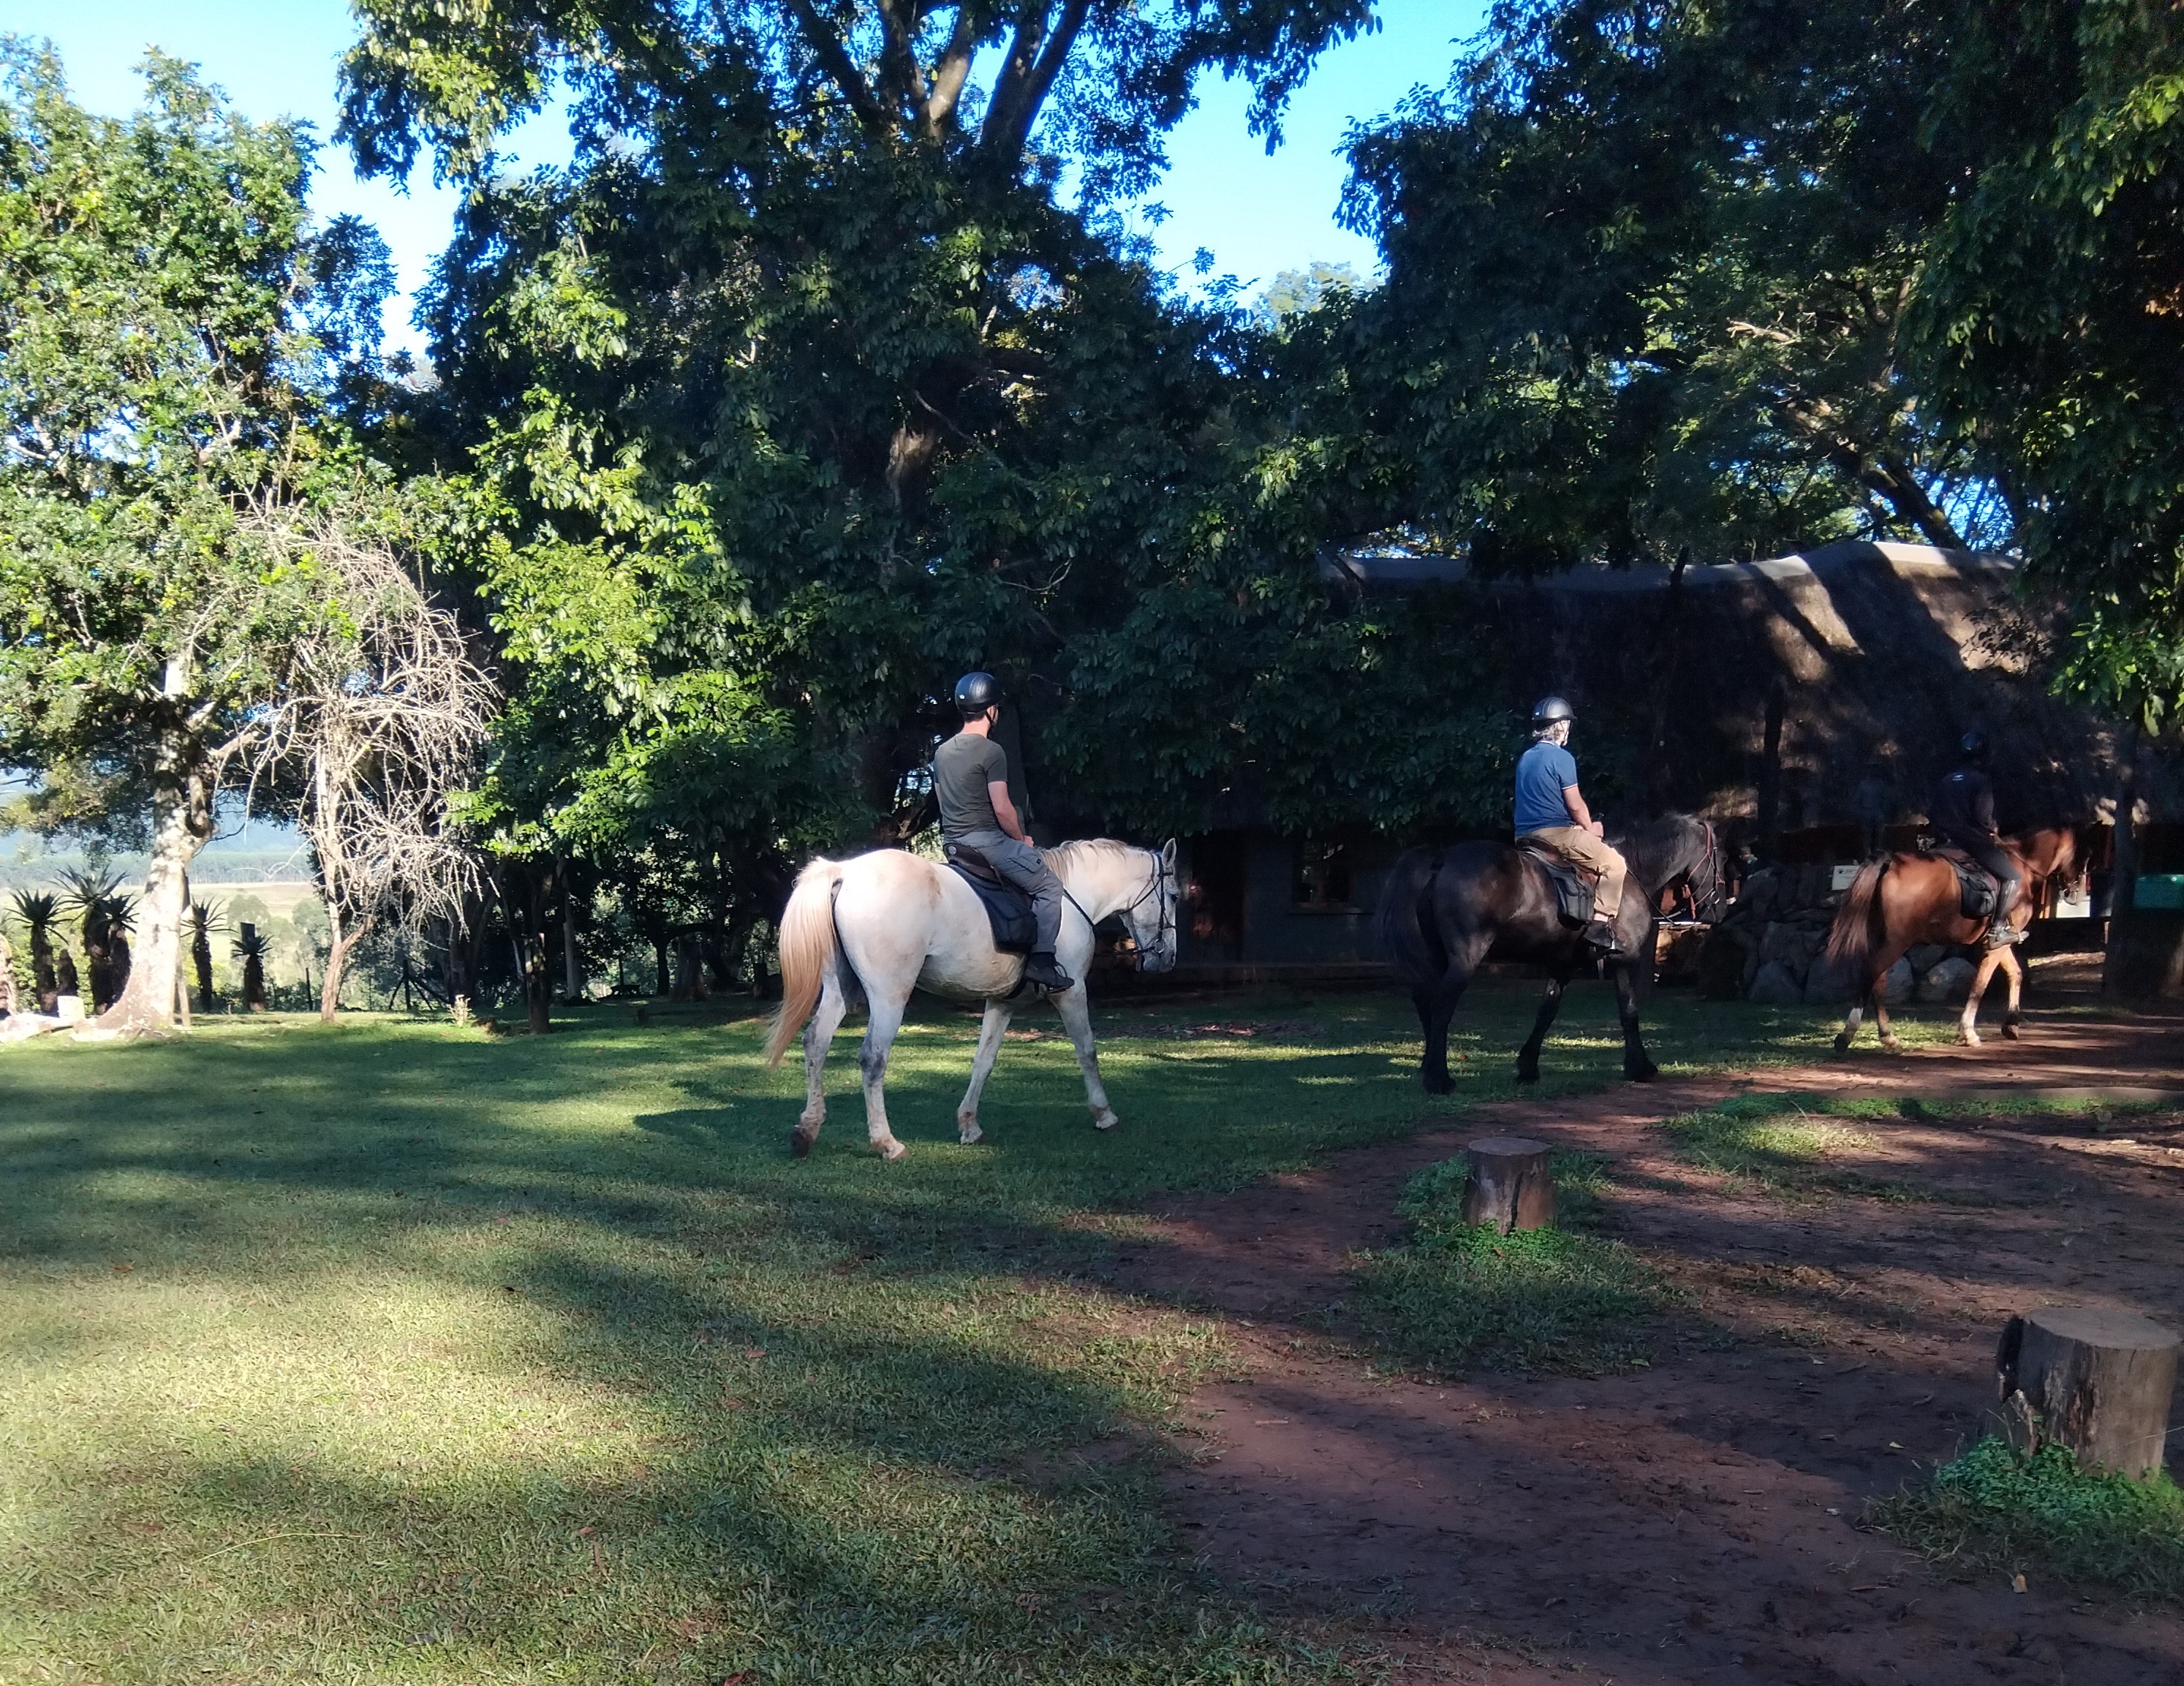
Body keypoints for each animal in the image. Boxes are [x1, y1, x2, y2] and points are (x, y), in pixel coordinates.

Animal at [763, 839, 1178, 1158]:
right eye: (1173, 896)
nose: (1168, 958)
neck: (1072, 896)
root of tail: (846, 872)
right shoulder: (1072, 993)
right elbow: (1088, 1052)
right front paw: (1104, 1115)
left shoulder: (1002, 1002)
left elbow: (984, 1061)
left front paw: (969, 1125)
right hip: (890, 994)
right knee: (872, 1059)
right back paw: (887, 1143)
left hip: (840, 990)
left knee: (816, 1043)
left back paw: (807, 1131)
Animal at [1375, 815, 1724, 1092]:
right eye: (1721, 859)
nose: (1718, 910)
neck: (1632, 873)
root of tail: (1443, 858)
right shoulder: (1621, 960)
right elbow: (1629, 1012)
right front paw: (1640, 1067)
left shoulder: (1562, 965)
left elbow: (1546, 1013)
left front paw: (1528, 1067)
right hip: (1465, 957)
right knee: (1442, 1005)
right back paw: (1439, 1079)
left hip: (1436, 957)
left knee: (1425, 1001)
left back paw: (1428, 1068)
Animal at [1821, 827, 2083, 1051]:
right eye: (2082, 854)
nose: (2075, 893)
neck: (2023, 864)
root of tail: (1892, 862)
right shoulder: (1997, 944)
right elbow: (1980, 984)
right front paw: (1969, 1032)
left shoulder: (2002, 940)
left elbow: (2015, 974)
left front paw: (2010, 1026)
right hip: (1897, 941)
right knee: (1872, 973)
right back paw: (1852, 1034)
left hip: (1883, 939)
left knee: (1879, 979)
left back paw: (1884, 1036)